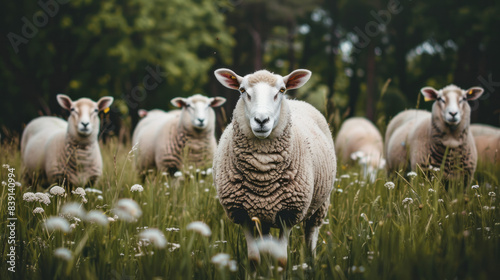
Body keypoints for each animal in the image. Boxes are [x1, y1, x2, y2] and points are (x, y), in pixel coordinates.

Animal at [211, 68, 336, 266]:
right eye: (242, 90)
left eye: (282, 90)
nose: (262, 120)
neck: (262, 173)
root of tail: (297, 101)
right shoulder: (243, 215)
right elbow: (254, 258)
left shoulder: (289, 214)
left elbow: (282, 260)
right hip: (263, 216)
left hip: (321, 205)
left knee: (311, 236)